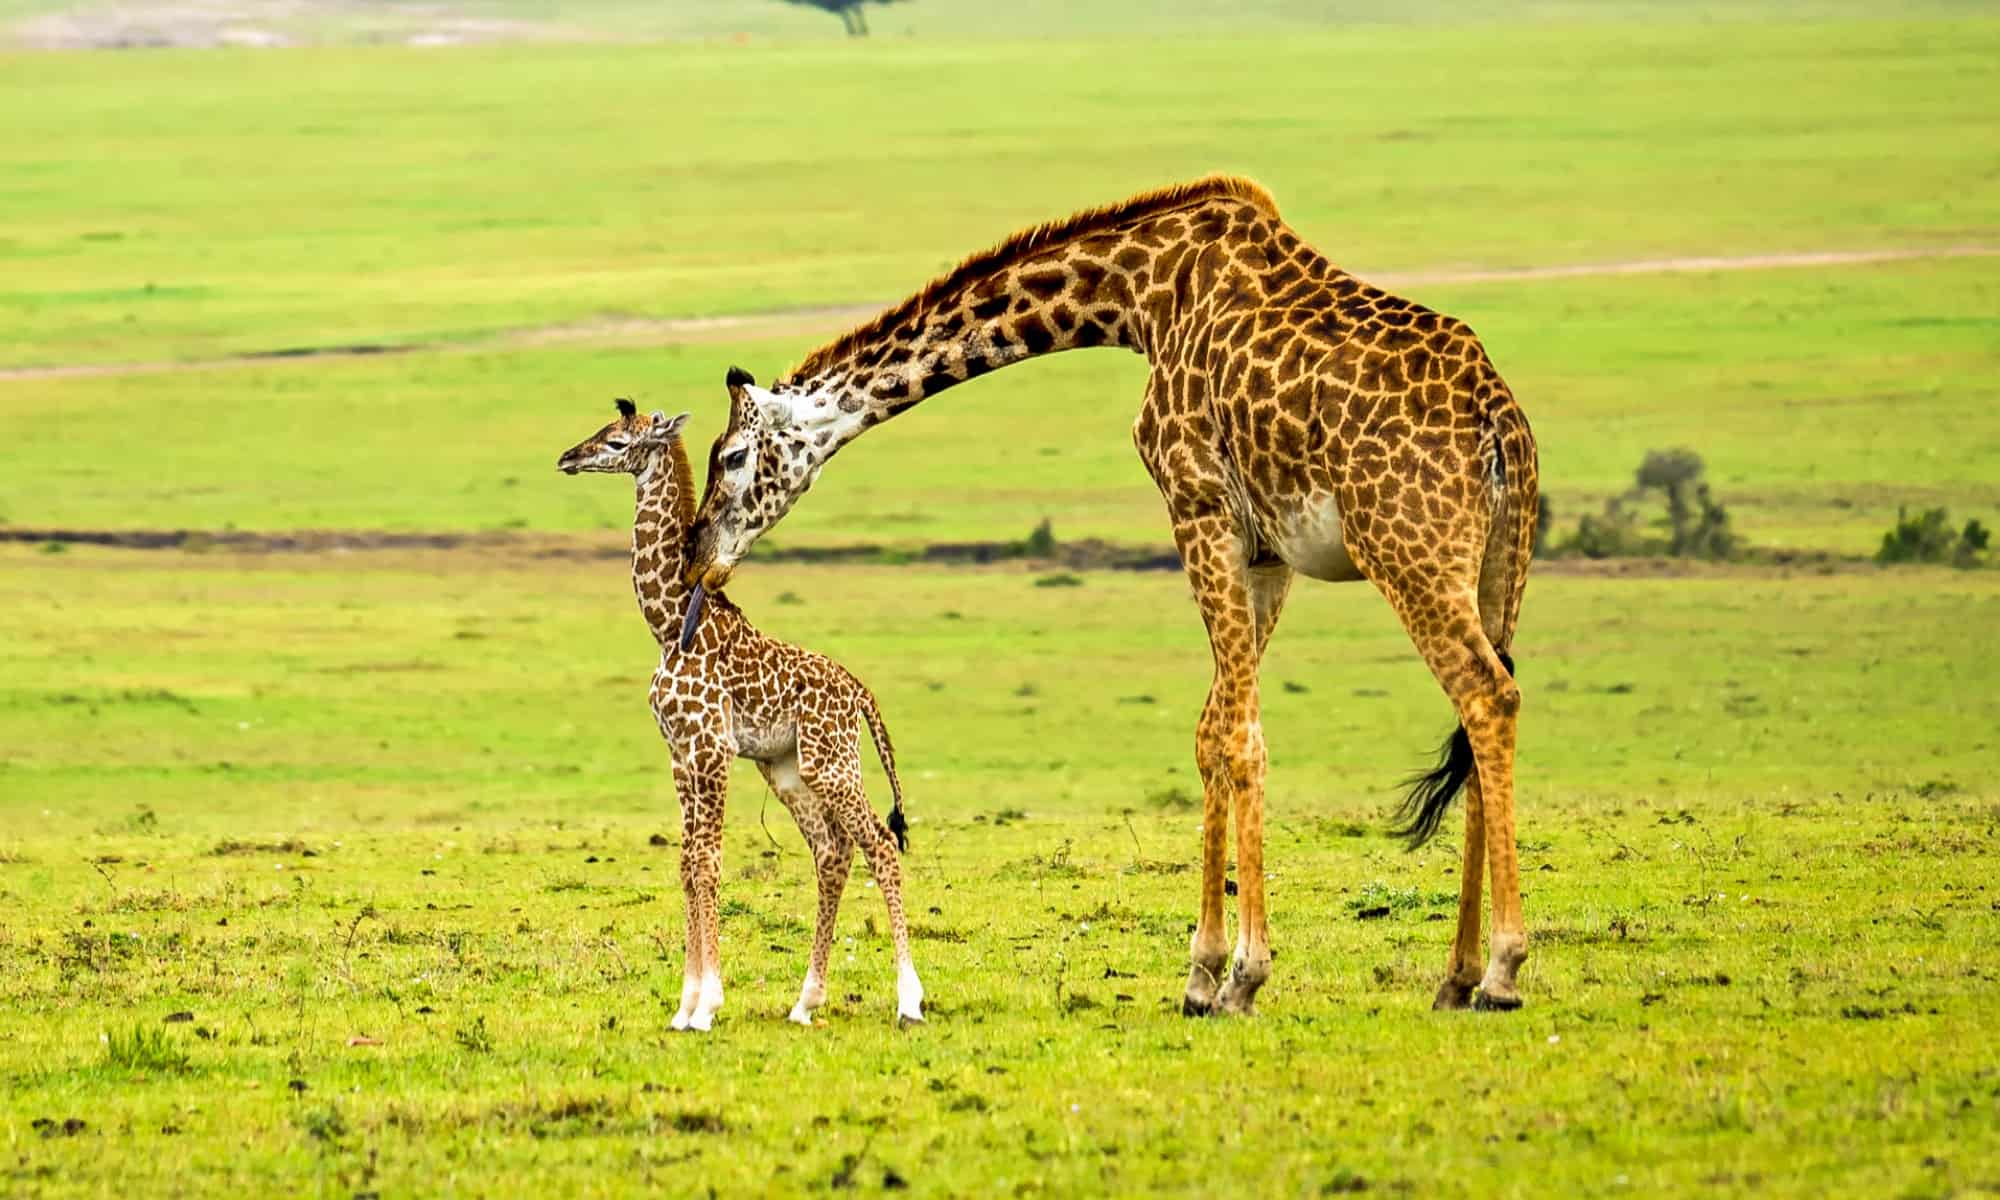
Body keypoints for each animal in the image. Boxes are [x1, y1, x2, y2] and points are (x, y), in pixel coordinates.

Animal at [560, 404, 924, 1032]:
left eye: (617, 441)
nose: (567, 457)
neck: (667, 625)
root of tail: (860, 693)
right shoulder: (680, 753)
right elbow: (686, 864)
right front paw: (683, 1006)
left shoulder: (711, 748)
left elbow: (708, 863)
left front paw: (706, 1005)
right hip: (788, 769)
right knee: (833, 852)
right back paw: (805, 1003)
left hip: (833, 761)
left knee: (878, 843)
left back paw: (909, 1000)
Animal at [680, 173, 1536, 1016]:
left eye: (731, 457)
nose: (697, 561)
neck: (1141, 297)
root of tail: (1500, 422)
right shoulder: (1268, 552)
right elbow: (1212, 729)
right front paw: (1202, 975)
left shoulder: (1200, 508)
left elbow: (1238, 735)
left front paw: (1243, 973)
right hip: (1501, 563)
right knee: (1485, 704)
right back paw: (1456, 977)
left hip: (1407, 551)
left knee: (1486, 694)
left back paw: (1501, 970)